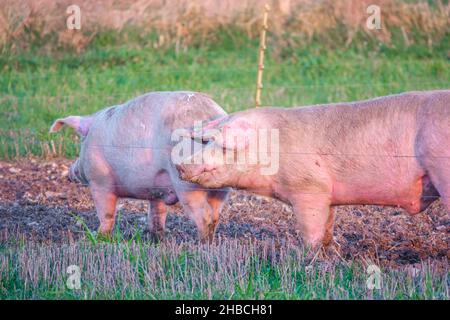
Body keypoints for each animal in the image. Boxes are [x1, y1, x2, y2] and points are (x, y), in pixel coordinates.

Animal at [50, 91, 229, 241]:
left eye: (81, 144)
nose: (70, 173)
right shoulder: (157, 189)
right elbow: (157, 213)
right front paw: (156, 238)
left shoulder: (99, 180)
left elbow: (106, 213)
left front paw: (99, 237)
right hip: (220, 187)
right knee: (215, 214)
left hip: (186, 183)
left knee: (204, 216)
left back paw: (202, 243)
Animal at [177, 90, 450, 248]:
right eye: (206, 141)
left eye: (222, 144)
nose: (180, 164)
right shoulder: (327, 194)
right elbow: (327, 227)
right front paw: (329, 253)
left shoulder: (309, 188)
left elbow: (312, 230)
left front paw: (307, 258)